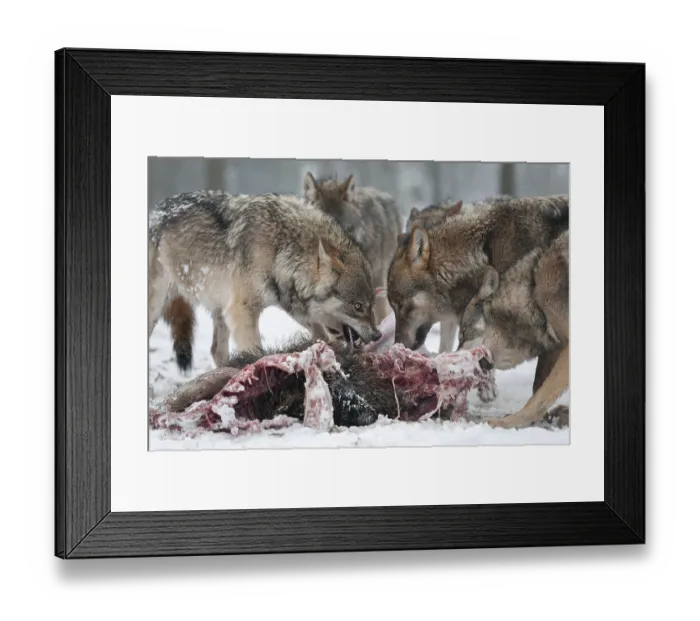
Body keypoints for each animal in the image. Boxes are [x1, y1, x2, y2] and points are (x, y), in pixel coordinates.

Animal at [149, 190, 382, 368]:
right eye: (358, 306)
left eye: (371, 305)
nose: (378, 335)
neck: (281, 247)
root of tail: (153, 211)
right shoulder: (242, 311)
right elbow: (255, 351)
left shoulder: (293, 307)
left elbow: (321, 335)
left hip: (220, 311)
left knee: (216, 351)